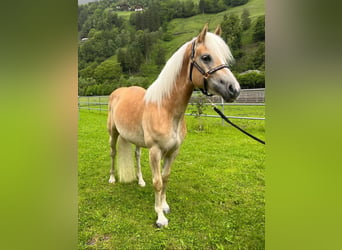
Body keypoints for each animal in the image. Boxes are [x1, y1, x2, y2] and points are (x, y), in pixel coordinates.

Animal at [107, 24, 240, 228]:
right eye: (206, 57)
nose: (234, 89)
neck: (166, 109)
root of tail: (118, 92)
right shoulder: (155, 151)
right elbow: (158, 182)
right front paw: (160, 217)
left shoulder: (173, 152)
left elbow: (165, 178)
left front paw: (164, 206)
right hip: (113, 134)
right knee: (113, 153)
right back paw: (112, 178)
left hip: (136, 141)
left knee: (137, 156)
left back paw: (140, 181)